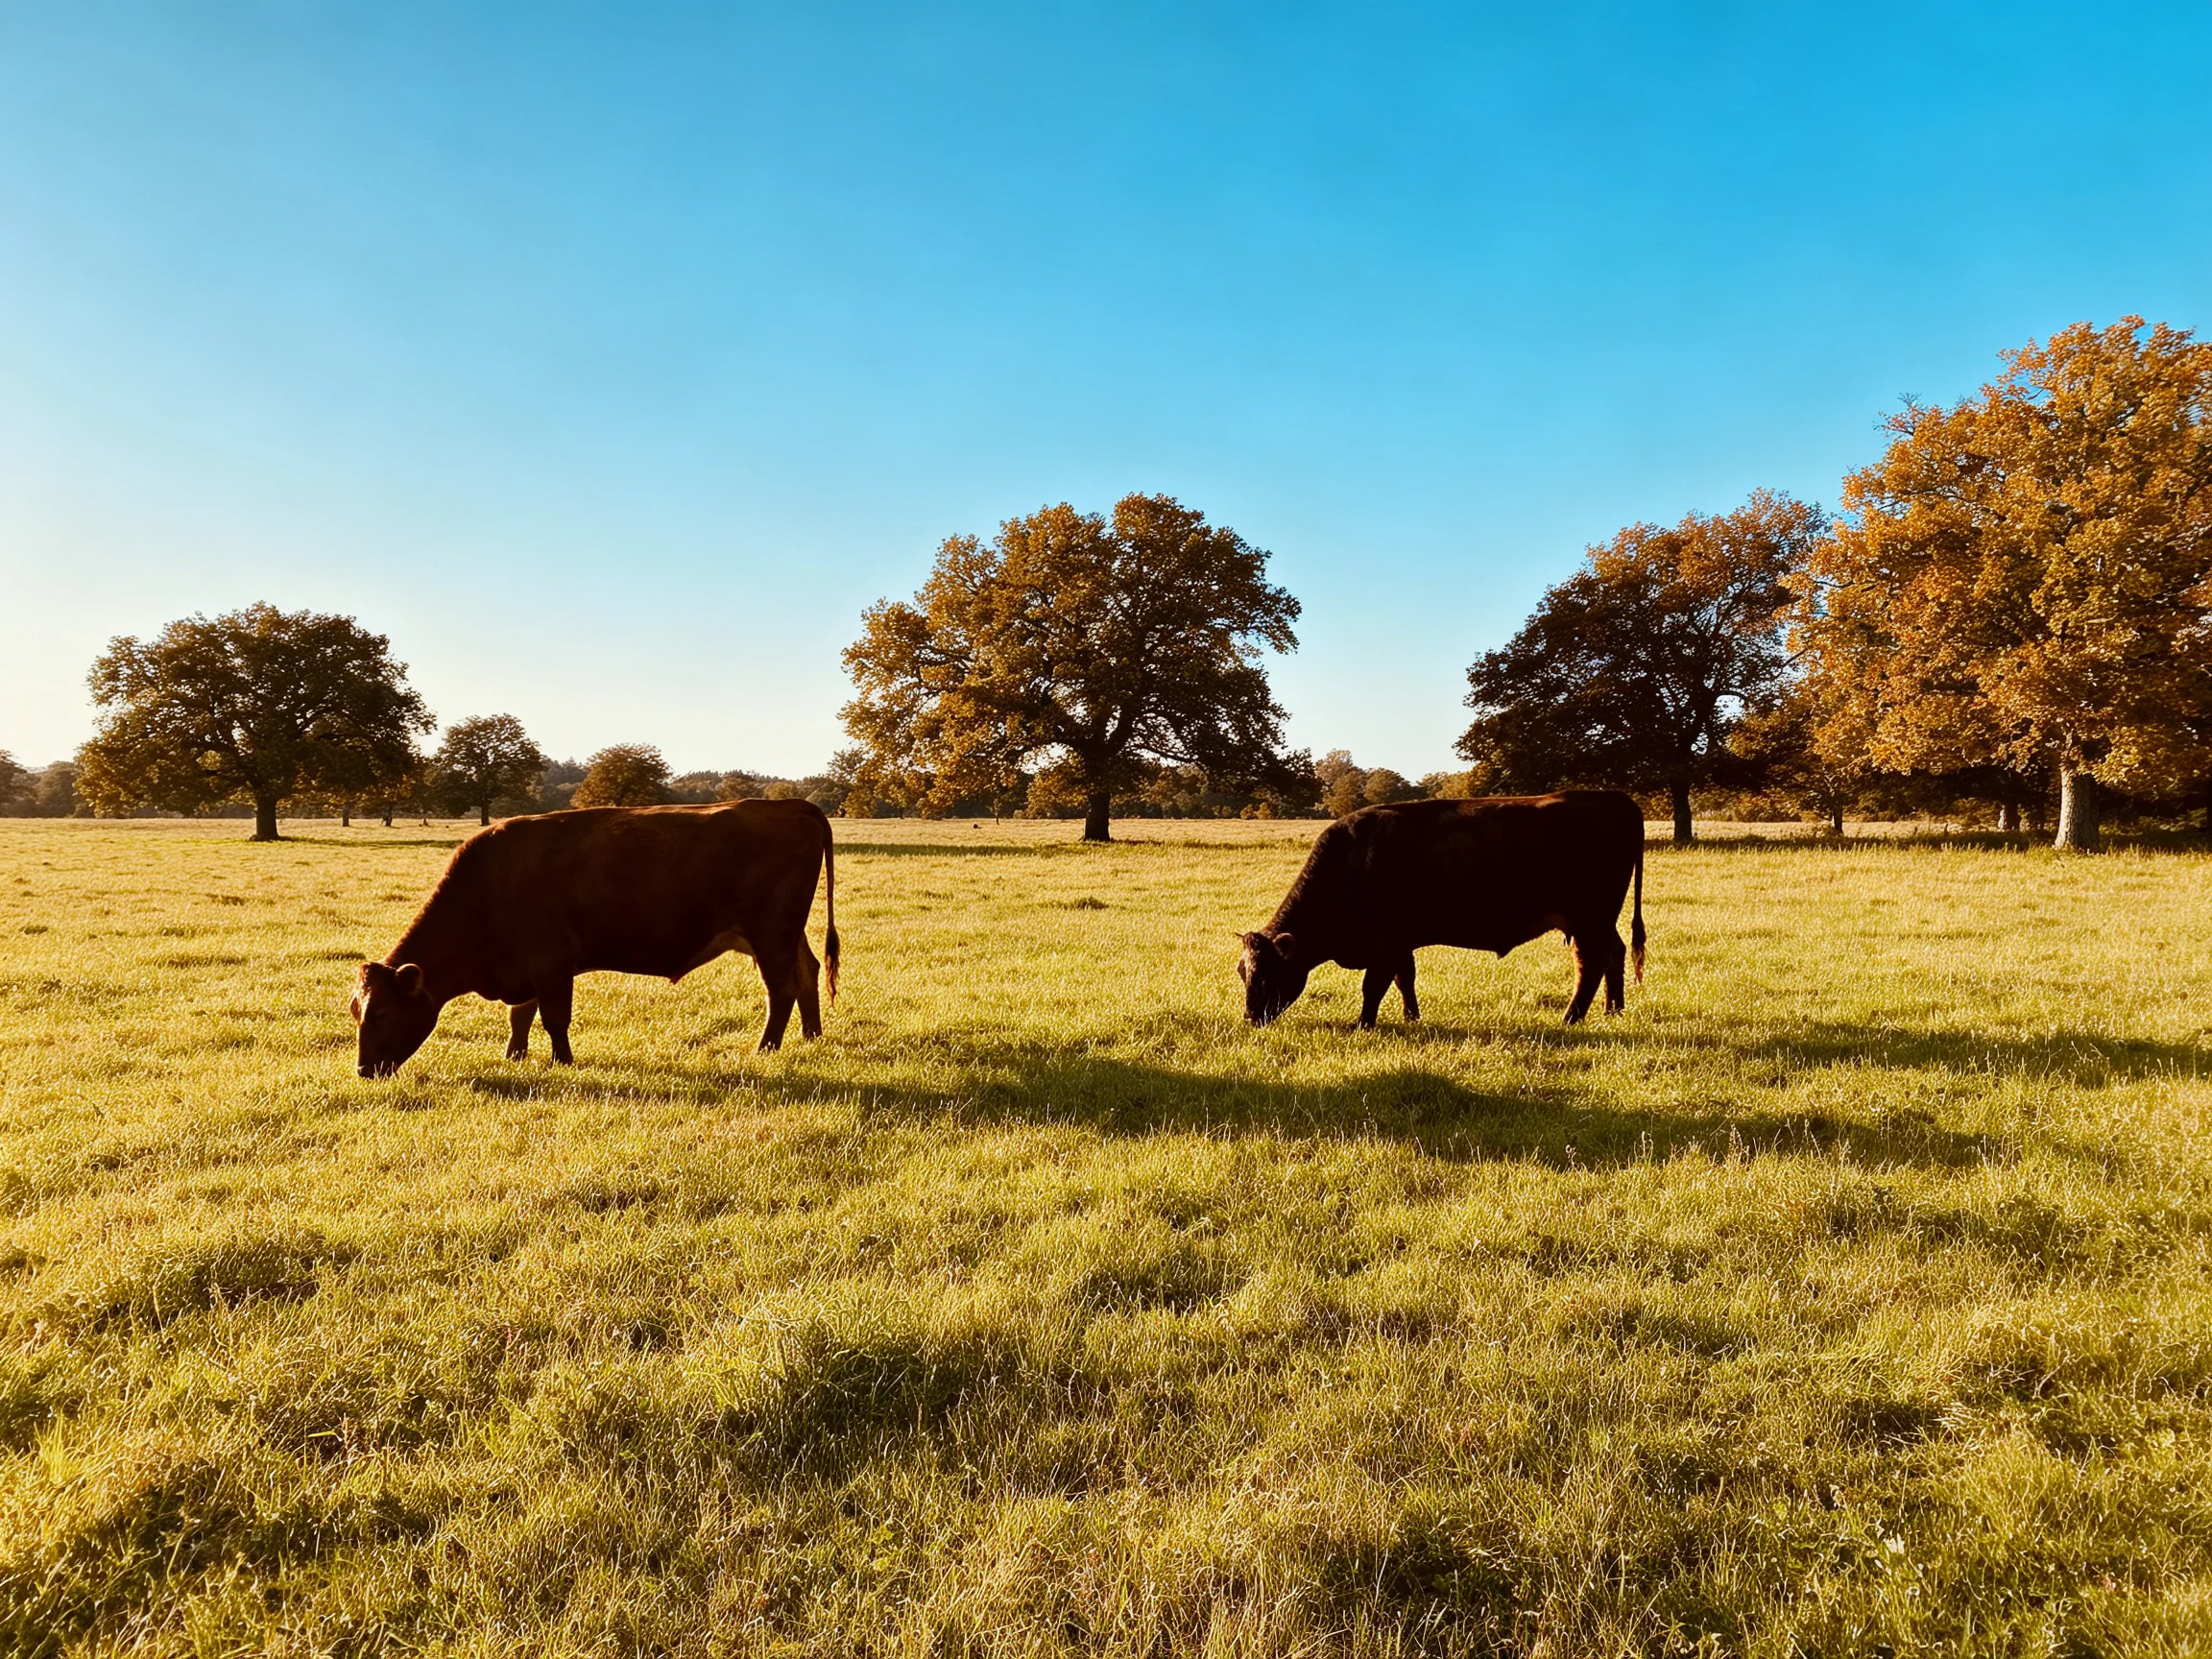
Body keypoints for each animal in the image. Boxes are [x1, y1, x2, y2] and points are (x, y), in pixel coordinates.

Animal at [351, 799, 838, 1078]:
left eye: (382, 1015)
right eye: (356, 1011)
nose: (364, 1070)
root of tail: (790, 804)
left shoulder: (550, 964)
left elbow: (553, 1019)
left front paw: (561, 1062)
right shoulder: (527, 968)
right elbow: (519, 1017)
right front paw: (514, 1056)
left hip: (771, 932)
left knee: (782, 988)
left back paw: (766, 1048)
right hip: (782, 934)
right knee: (808, 972)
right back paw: (811, 1037)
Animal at [1237, 792, 1645, 1030]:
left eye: (1267, 976)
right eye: (1244, 973)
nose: (1251, 1018)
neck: (1353, 861)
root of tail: (1612, 796)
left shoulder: (1385, 944)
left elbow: (1373, 987)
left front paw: (1364, 1025)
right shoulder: (1400, 943)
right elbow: (1405, 979)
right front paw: (1411, 1017)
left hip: (1588, 917)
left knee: (1590, 964)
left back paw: (1571, 1017)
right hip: (1600, 920)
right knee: (1615, 953)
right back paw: (1613, 1010)